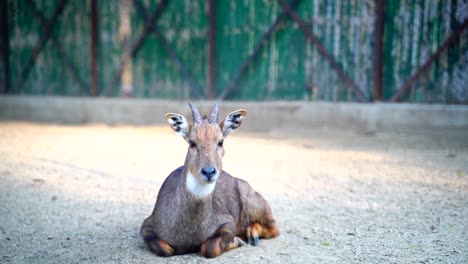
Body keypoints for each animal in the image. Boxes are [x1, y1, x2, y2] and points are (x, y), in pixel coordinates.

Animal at [141, 102, 280, 258]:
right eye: (192, 142)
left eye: (220, 142)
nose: (208, 171)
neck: (188, 231)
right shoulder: (147, 226)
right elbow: (165, 249)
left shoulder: (228, 222)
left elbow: (209, 248)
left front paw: (236, 241)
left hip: (254, 204)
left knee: (274, 228)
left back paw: (252, 234)